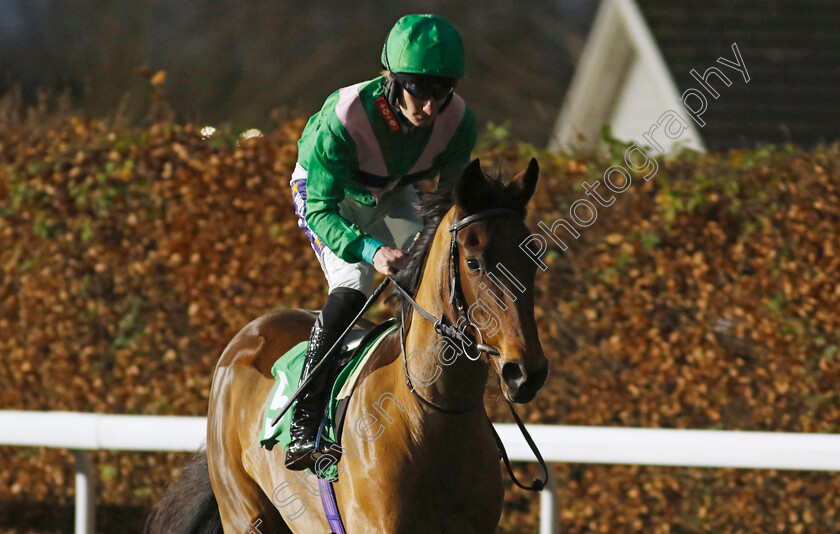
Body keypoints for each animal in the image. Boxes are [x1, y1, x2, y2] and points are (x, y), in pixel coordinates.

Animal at [145, 159, 548, 534]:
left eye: (534, 259)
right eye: (473, 263)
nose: (526, 373)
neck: (431, 413)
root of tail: (247, 335)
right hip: (243, 512)